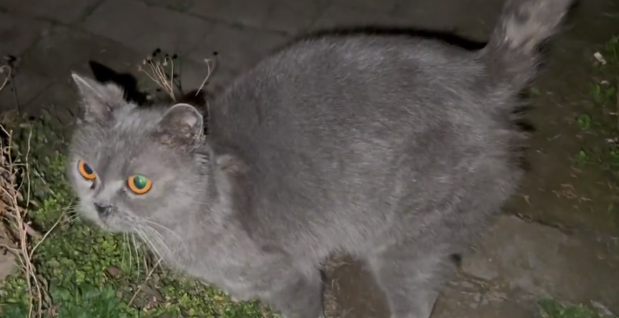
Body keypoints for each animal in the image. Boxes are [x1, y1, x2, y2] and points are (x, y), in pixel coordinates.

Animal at [68, 0, 576, 318]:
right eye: (86, 169)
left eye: (139, 184)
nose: (100, 206)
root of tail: (481, 72)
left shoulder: (290, 275)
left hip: (409, 237)